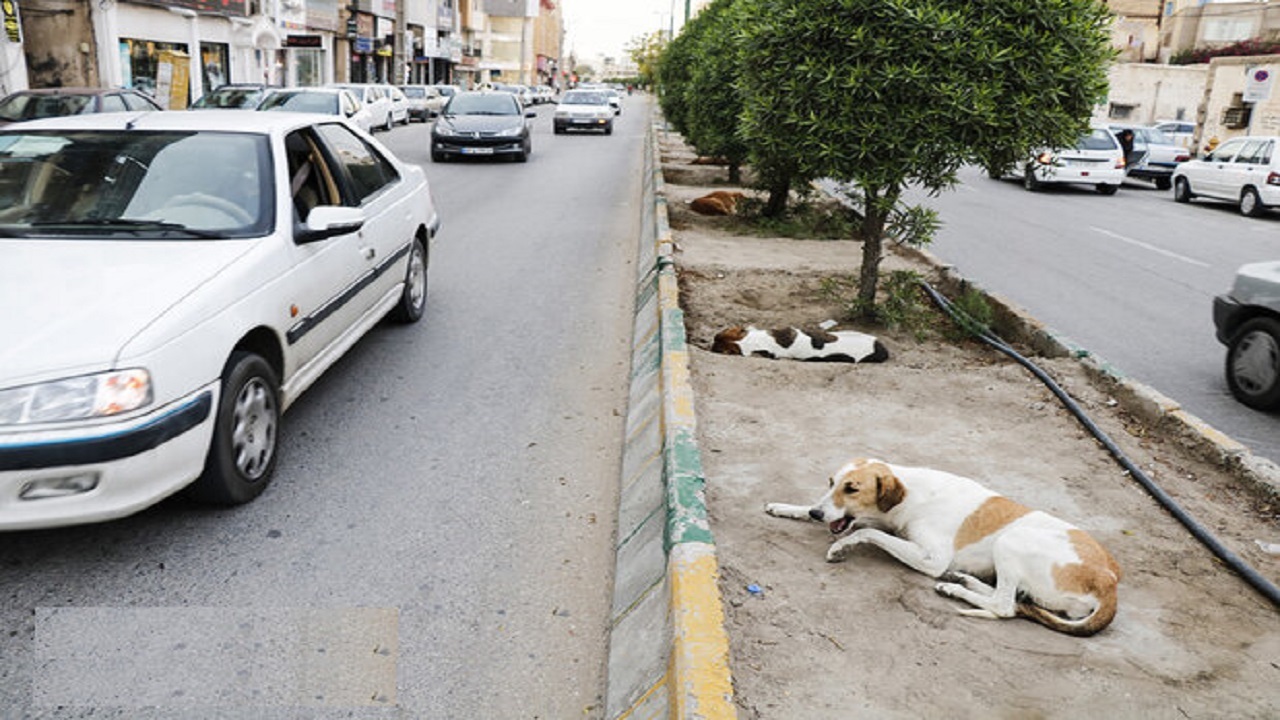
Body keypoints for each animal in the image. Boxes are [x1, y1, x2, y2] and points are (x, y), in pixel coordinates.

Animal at [762, 456, 1116, 630]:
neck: (911, 492)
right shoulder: (888, 522)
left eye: (852, 488)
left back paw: (955, 588)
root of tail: (1110, 583)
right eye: (831, 483)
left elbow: (868, 534)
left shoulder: (931, 558)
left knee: (1005, 606)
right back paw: (962, 581)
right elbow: (865, 526)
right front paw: (786, 508)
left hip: (1013, 539)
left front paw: (841, 546)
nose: (817, 512)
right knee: (1013, 598)